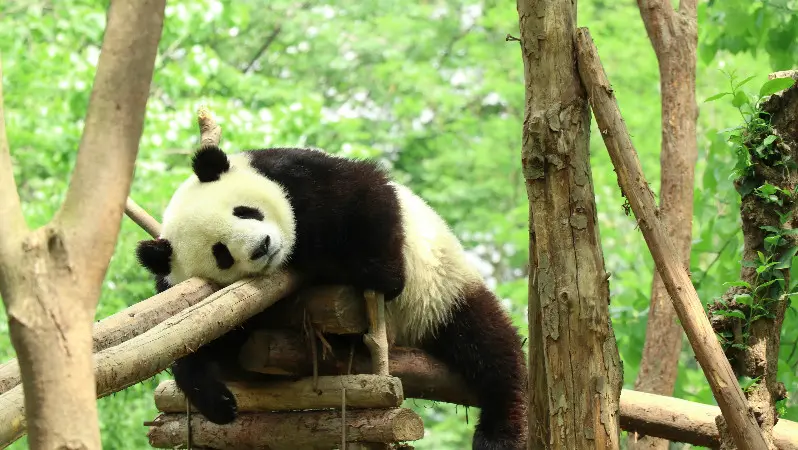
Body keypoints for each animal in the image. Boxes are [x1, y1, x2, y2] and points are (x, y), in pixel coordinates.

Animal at [136, 144, 528, 450]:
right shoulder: (187, 294)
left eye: (245, 212)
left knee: (491, 352)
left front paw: (376, 273)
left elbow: (365, 194)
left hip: (443, 291)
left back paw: (499, 432)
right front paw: (218, 402)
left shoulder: (296, 175)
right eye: (222, 254)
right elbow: (193, 341)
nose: (263, 247)